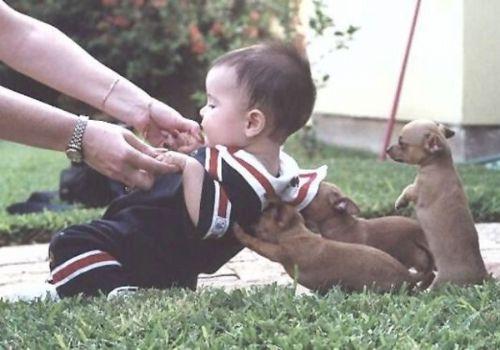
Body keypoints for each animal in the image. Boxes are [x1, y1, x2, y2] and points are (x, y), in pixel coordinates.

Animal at [232, 201, 420, 294]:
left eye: (259, 218)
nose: (246, 220)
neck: (295, 232)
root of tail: (408, 275)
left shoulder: (277, 252)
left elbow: (255, 243)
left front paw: (238, 231)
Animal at [386, 118, 488, 288]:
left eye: (402, 143)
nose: (387, 149)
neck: (438, 164)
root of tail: (482, 276)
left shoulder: (417, 190)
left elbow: (408, 189)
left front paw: (400, 202)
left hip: (442, 280)